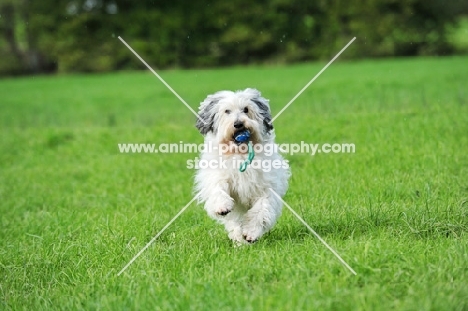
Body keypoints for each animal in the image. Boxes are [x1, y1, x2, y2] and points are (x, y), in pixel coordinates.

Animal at [194, 88, 288, 244]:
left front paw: (251, 233)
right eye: (227, 111)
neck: (239, 153)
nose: (238, 124)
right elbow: (218, 188)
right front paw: (222, 206)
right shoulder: (217, 174)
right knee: (234, 222)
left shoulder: (267, 186)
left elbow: (261, 209)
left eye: (246, 109)